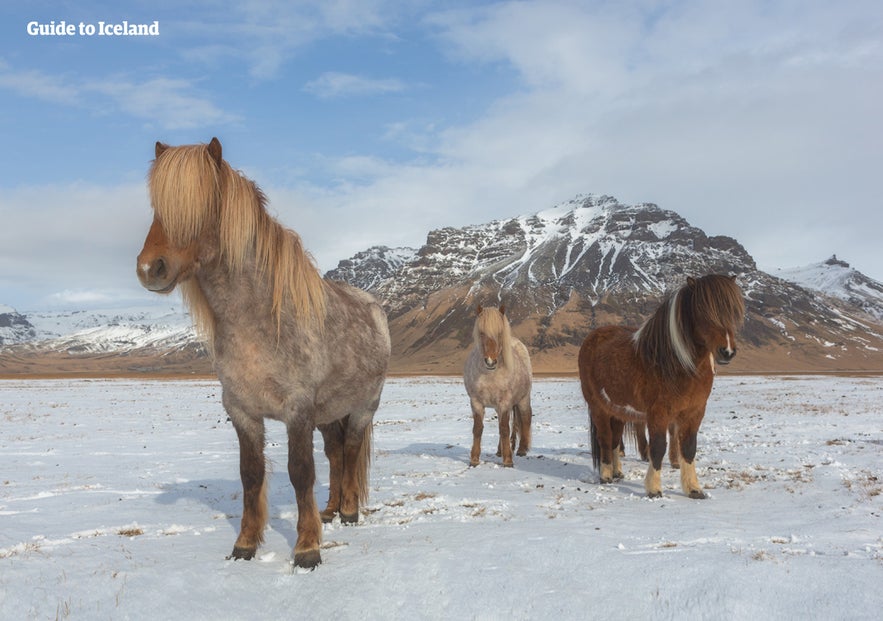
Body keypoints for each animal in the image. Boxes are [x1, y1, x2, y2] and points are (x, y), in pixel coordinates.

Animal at [136, 138, 390, 568]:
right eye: (156, 205)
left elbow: (300, 471)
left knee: (352, 451)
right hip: (328, 414)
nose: (149, 268)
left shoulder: (298, 409)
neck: (257, 321)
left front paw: (307, 548)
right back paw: (330, 510)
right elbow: (251, 474)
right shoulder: (242, 411)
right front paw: (245, 544)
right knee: (336, 454)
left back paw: (349, 511)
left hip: (362, 407)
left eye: (203, 203)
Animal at [466, 306, 536, 464]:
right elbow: (478, 428)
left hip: (523, 399)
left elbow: (504, 429)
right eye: (481, 332)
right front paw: (474, 459)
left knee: (525, 418)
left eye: (499, 333)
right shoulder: (476, 402)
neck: (489, 374)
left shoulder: (504, 403)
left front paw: (508, 460)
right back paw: (499, 451)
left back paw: (521, 449)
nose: (490, 361)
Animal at [580, 276, 744, 498]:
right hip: (598, 407)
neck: (679, 364)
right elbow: (657, 447)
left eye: (733, 312)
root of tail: (592, 337)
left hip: (618, 410)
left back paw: (617, 472)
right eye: (702, 310)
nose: (727, 351)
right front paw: (654, 488)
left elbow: (689, 448)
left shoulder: (695, 412)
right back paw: (606, 475)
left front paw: (694, 489)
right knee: (605, 438)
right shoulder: (658, 413)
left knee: (614, 439)